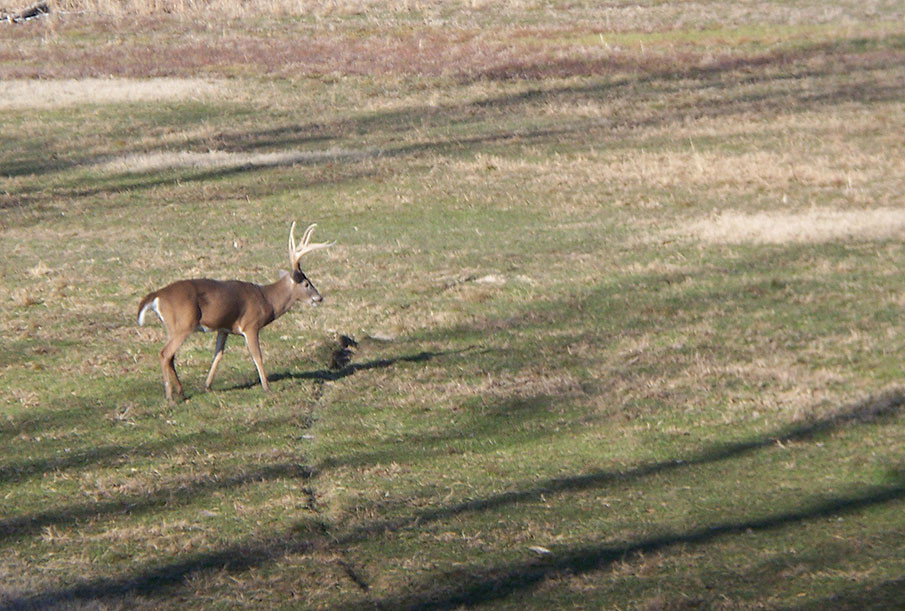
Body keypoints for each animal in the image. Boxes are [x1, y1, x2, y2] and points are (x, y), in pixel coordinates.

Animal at [139, 222, 338, 404]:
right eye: (306, 283)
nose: (319, 298)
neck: (267, 300)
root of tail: (156, 296)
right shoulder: (251, 325)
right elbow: (257, 355)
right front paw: (267, 387)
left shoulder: (224, 328)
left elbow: (218, 355)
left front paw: (207, 386)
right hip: (183, 324)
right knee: (164, 354)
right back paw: (170, 396)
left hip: (171, 327)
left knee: (170, 356)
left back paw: (180, 391)